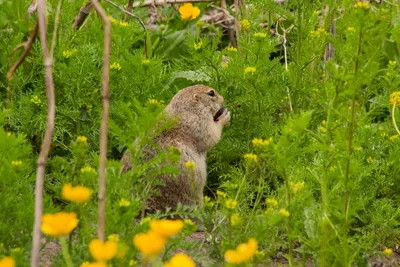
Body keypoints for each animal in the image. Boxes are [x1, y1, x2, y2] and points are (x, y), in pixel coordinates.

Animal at [120, 85, 230, 213]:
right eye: (211, 93)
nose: (223, 98)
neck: (187, 107)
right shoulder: (197, 121)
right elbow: (211, 135)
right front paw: (225, 116)